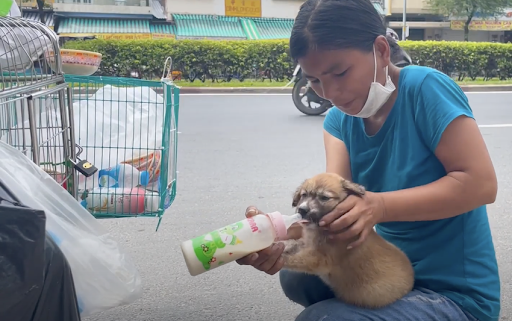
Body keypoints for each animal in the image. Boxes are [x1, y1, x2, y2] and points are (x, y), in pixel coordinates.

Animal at [280, 172, 416, 308]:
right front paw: (284, 244)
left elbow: (293, 259)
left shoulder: (319, 258)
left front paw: (279, 257)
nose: (302, 210)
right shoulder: (309, 244)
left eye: (324, 198)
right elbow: (295, 243)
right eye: (304, 195)